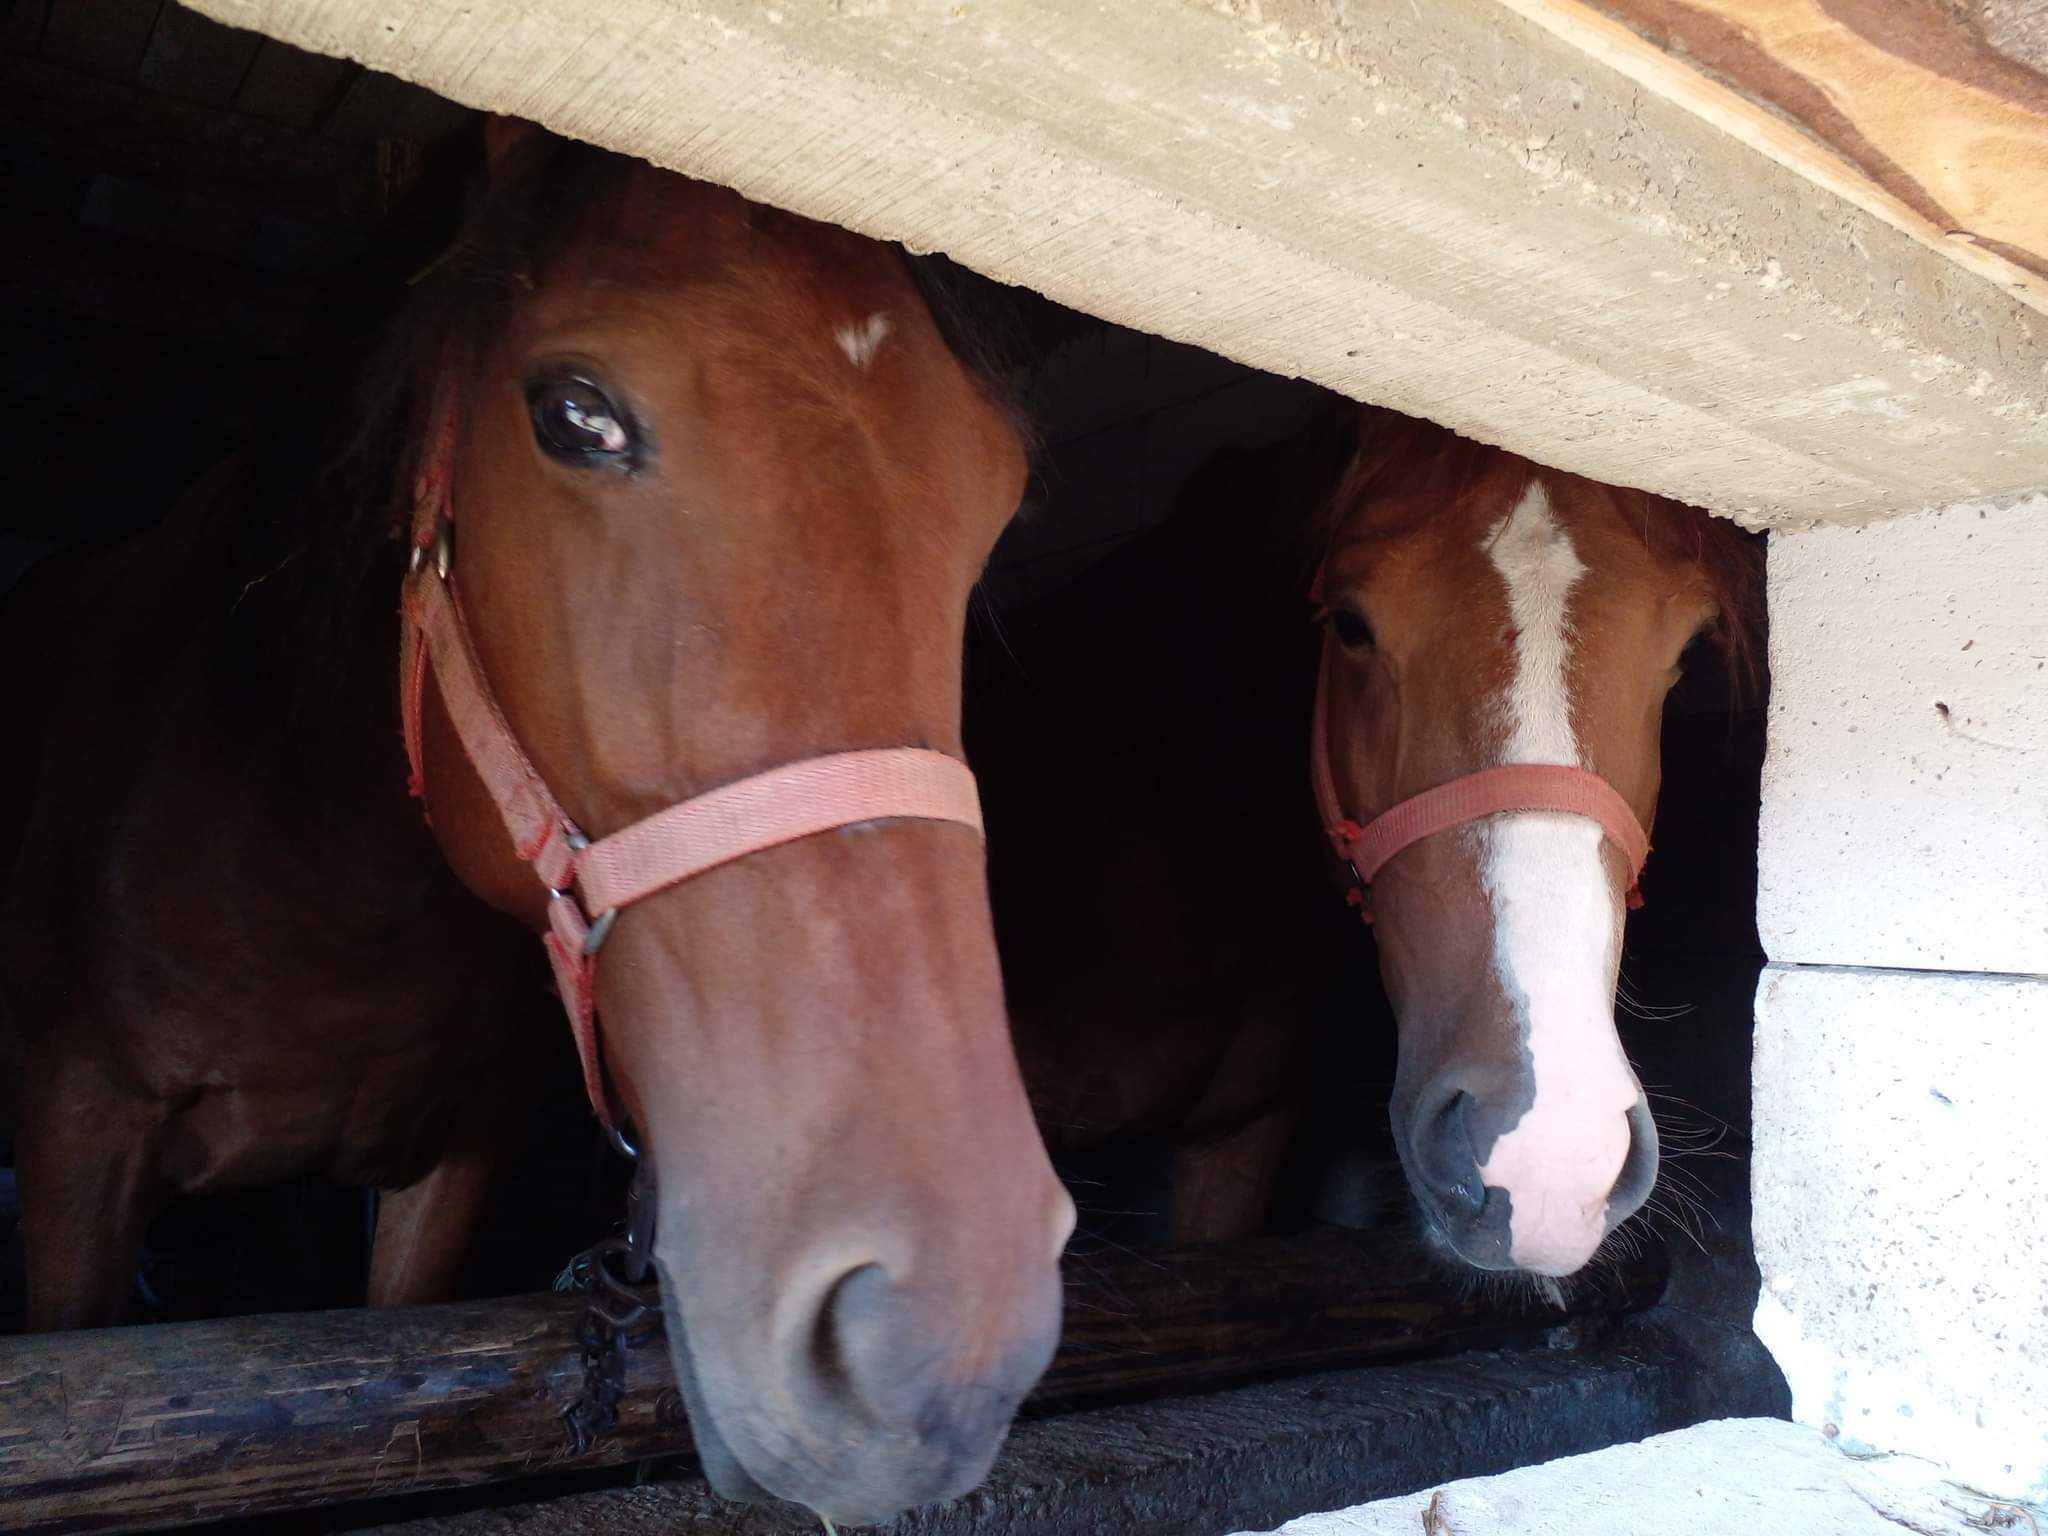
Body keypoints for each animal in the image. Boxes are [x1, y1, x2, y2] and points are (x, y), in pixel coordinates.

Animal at [0, 120, 1081, 1531]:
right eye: (574, 414)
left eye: (998, 497)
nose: (935, 1328)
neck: (310, 887)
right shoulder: (79, 1145)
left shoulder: (447, 1173)